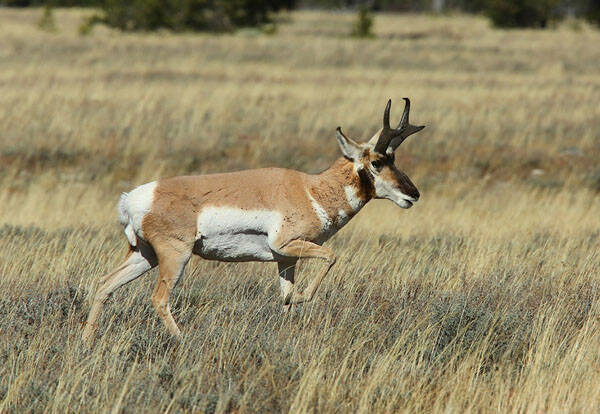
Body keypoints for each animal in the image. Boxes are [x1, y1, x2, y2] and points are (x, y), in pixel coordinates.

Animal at [81, 98, 426, 342]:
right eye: (378, 162)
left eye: (394, 158)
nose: (414, 194)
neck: (311, 189)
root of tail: (133, 198)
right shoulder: (288, 245)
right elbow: (330, 257)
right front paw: (303, 296)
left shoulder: (285, 258)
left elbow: (285, 297)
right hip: (174, 256)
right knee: (159, 299)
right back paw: (183, 341)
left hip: (145, 255)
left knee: (104, 284)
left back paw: (87, 340)